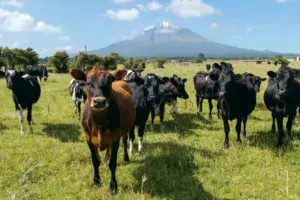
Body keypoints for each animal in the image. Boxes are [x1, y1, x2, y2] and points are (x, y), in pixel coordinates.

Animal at [69, 66, 135, 195]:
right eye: (88, 83)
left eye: (109, 83)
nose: (99, 101)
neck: (99, 124)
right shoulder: (88, 139)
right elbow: (95, 161)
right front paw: (96, 182)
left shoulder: (115, 138)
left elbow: (113, 163)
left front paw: (113, 186)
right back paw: (105, 160)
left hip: (126, 129)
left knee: (125, 141)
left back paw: (125, 158)